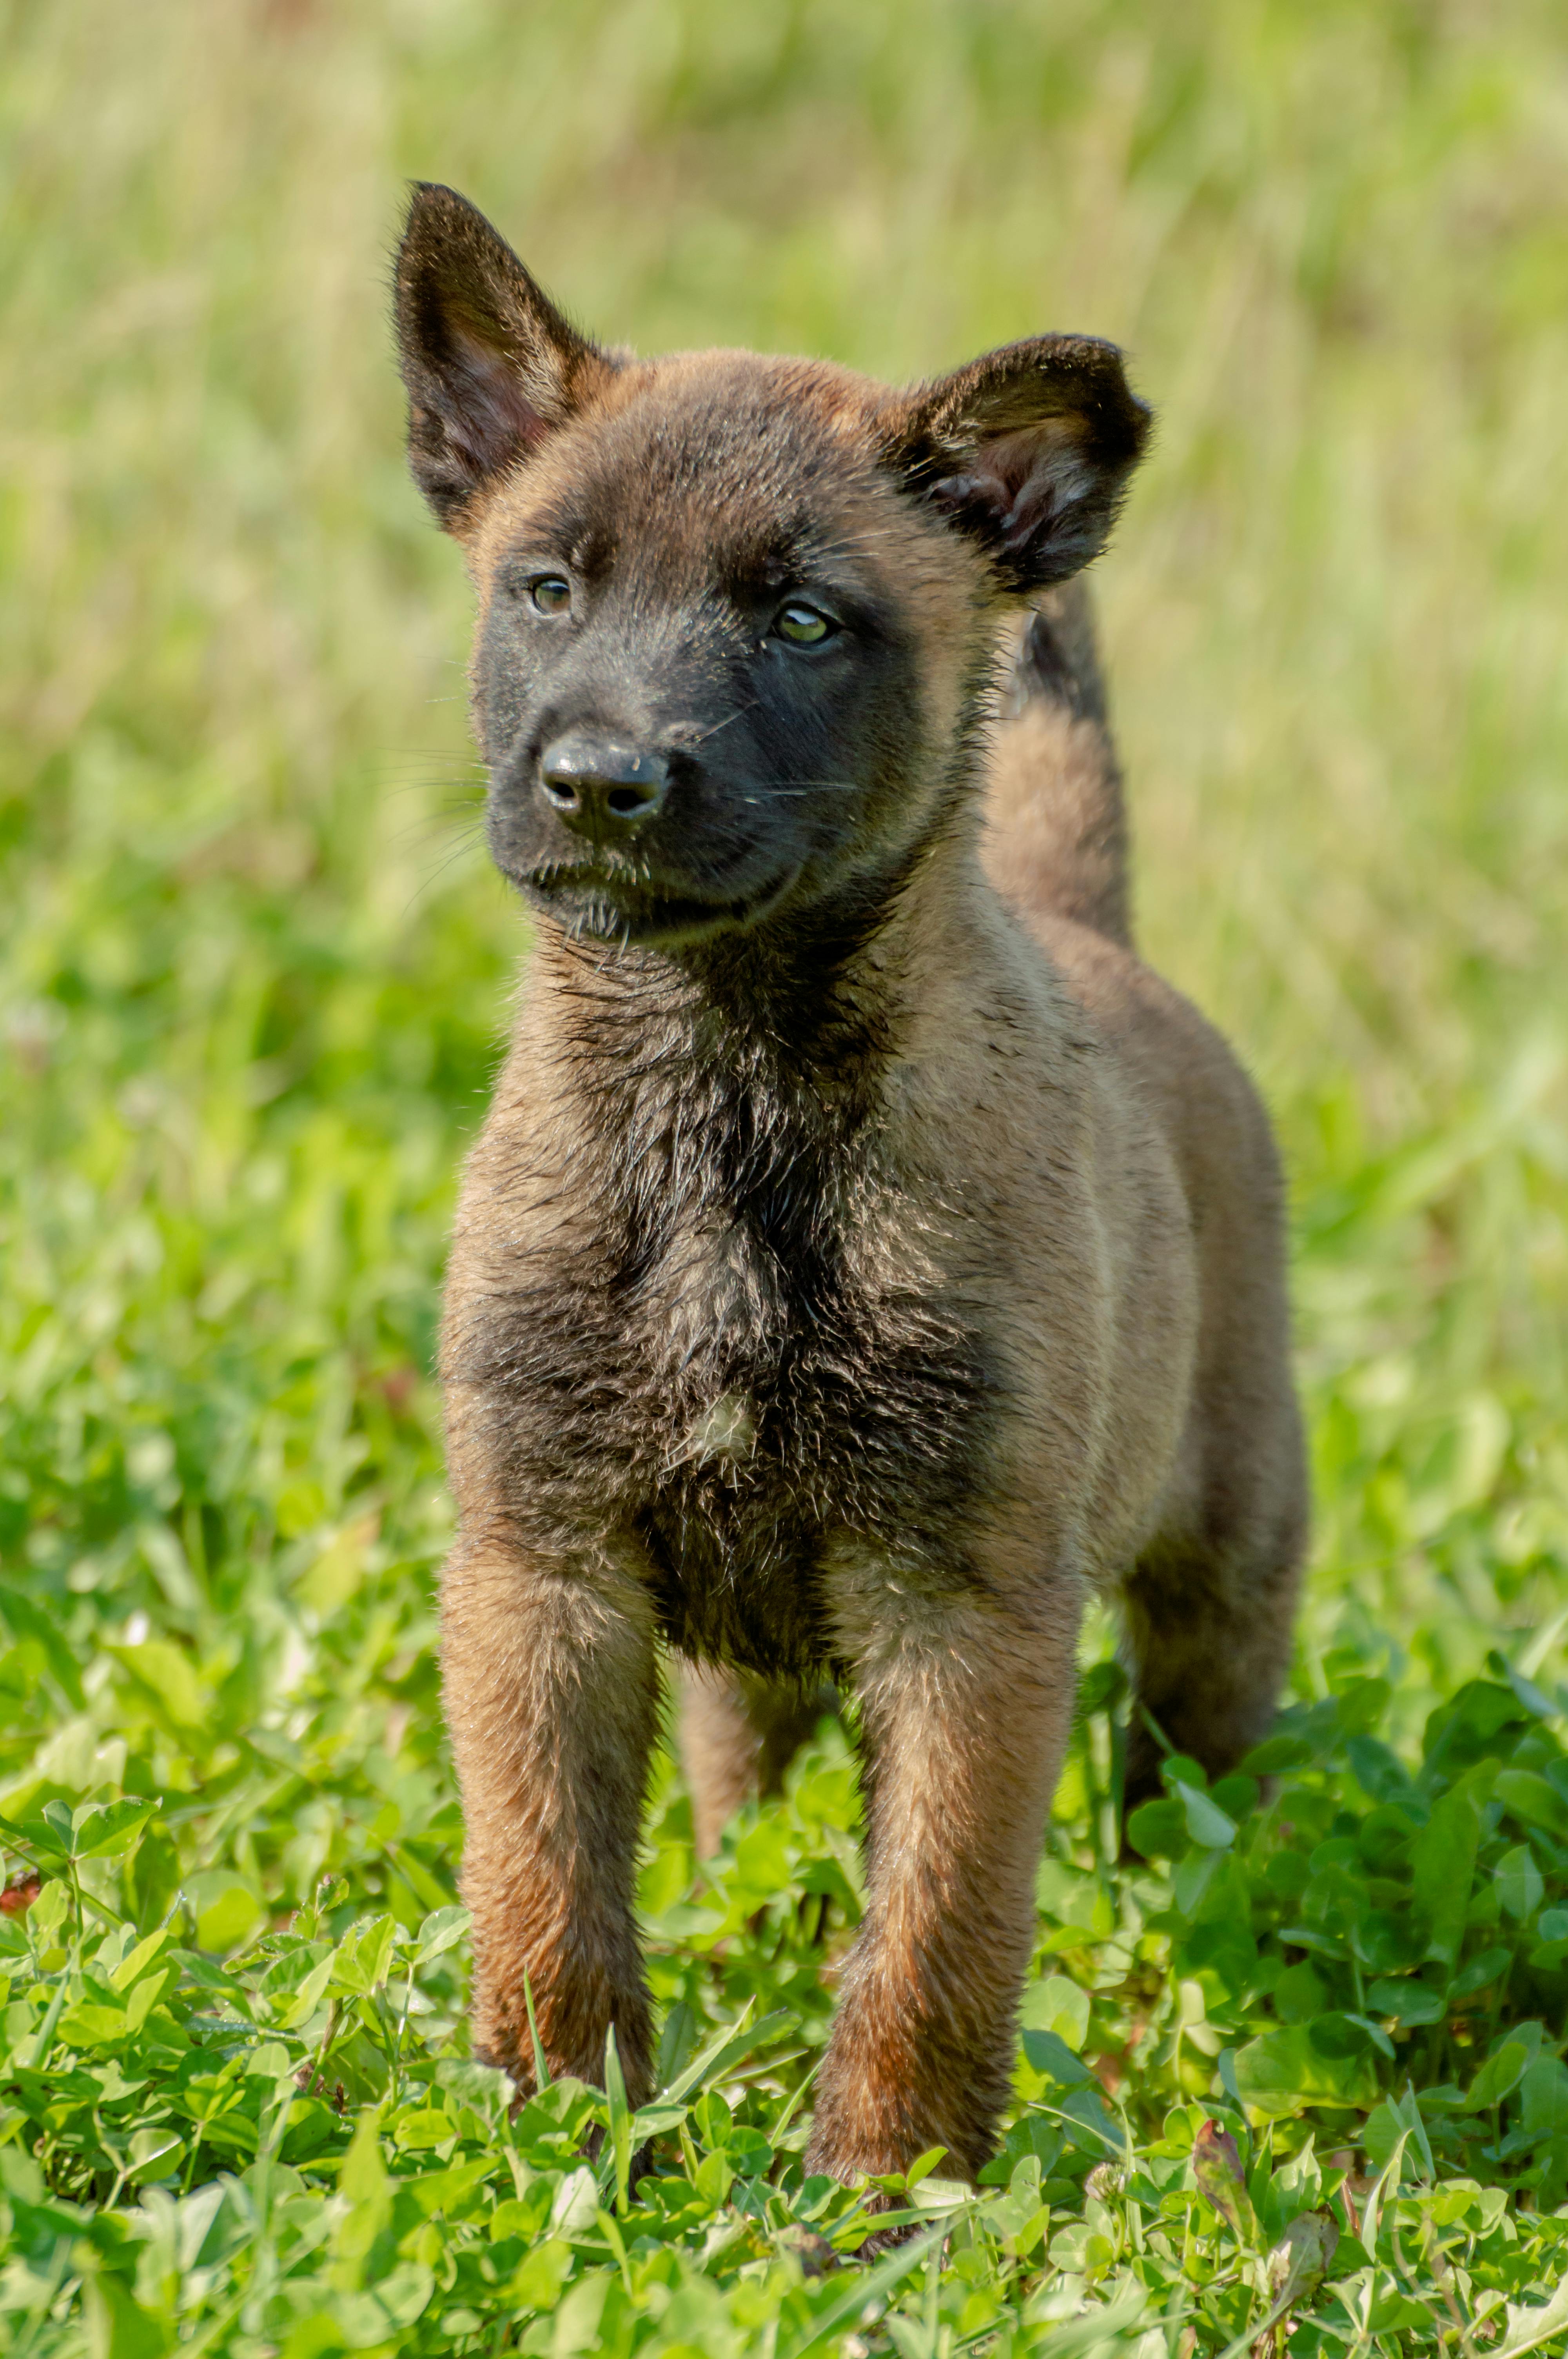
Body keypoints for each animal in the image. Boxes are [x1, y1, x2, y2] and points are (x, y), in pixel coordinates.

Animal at [394, 184, 1311, 2189]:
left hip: (1225, 1561)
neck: (723, 1096)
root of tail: (1088, 927)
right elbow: (544, 1891)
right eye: (548, 587)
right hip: (742, 1658)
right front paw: (559, 2146)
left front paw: (887, 2193)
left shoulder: (964, 1615)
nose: (599, 782)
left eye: (806, 621)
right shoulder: (540, 1568)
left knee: (1195, 1775)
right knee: (738, 1791)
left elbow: (933, 1937)